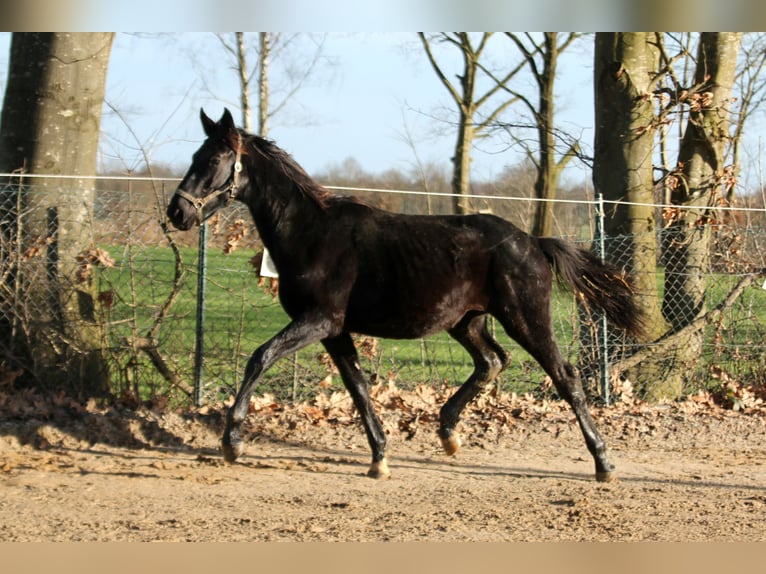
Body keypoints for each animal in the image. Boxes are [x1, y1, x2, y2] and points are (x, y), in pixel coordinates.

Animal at [168, 108, 648, 482]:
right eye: (193, 156)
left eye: (214, 158)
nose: (177, 212)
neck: (311, 234)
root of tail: (532, 241)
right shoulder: (334, 331)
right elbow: (358, 387)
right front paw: (379, 458)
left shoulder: (319, 320)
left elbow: (260, 357)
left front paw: (232, 442)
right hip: (467, 321)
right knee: (492, 361)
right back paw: (448, 433)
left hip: (524, 317)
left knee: (564, 375)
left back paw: (604, 464)